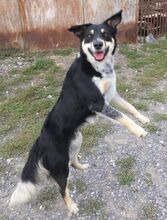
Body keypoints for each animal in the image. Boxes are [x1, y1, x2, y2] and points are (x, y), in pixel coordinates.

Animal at [8, 9, 149, 215]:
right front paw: (139, 131)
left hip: (76, 140)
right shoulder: (98, 104)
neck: (97, 68)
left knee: (73, 161)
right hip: (59, 165)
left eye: (105, 34)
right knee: (62, 188)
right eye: (89, 36)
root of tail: (39, 142)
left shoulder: (112, 95)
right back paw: (72, 206)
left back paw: (82, 166)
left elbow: (130, 107)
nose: (97, 44)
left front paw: (144, 119)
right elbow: (123, 117)